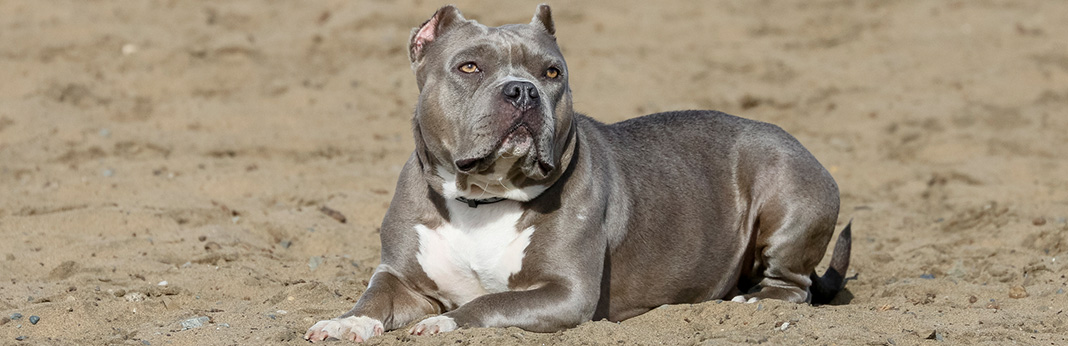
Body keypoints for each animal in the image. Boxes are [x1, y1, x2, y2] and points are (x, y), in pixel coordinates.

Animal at [307, 4, 850, 341]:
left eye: (552, 73)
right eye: (469, 67)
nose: (522, 90)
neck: (483, 197)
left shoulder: (565, 293)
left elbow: (488, 303)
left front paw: (446, 324)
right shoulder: (401, 278)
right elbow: (372, 300)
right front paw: (344, 324)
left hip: (785, 187)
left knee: (791, 286)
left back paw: (754, 303)